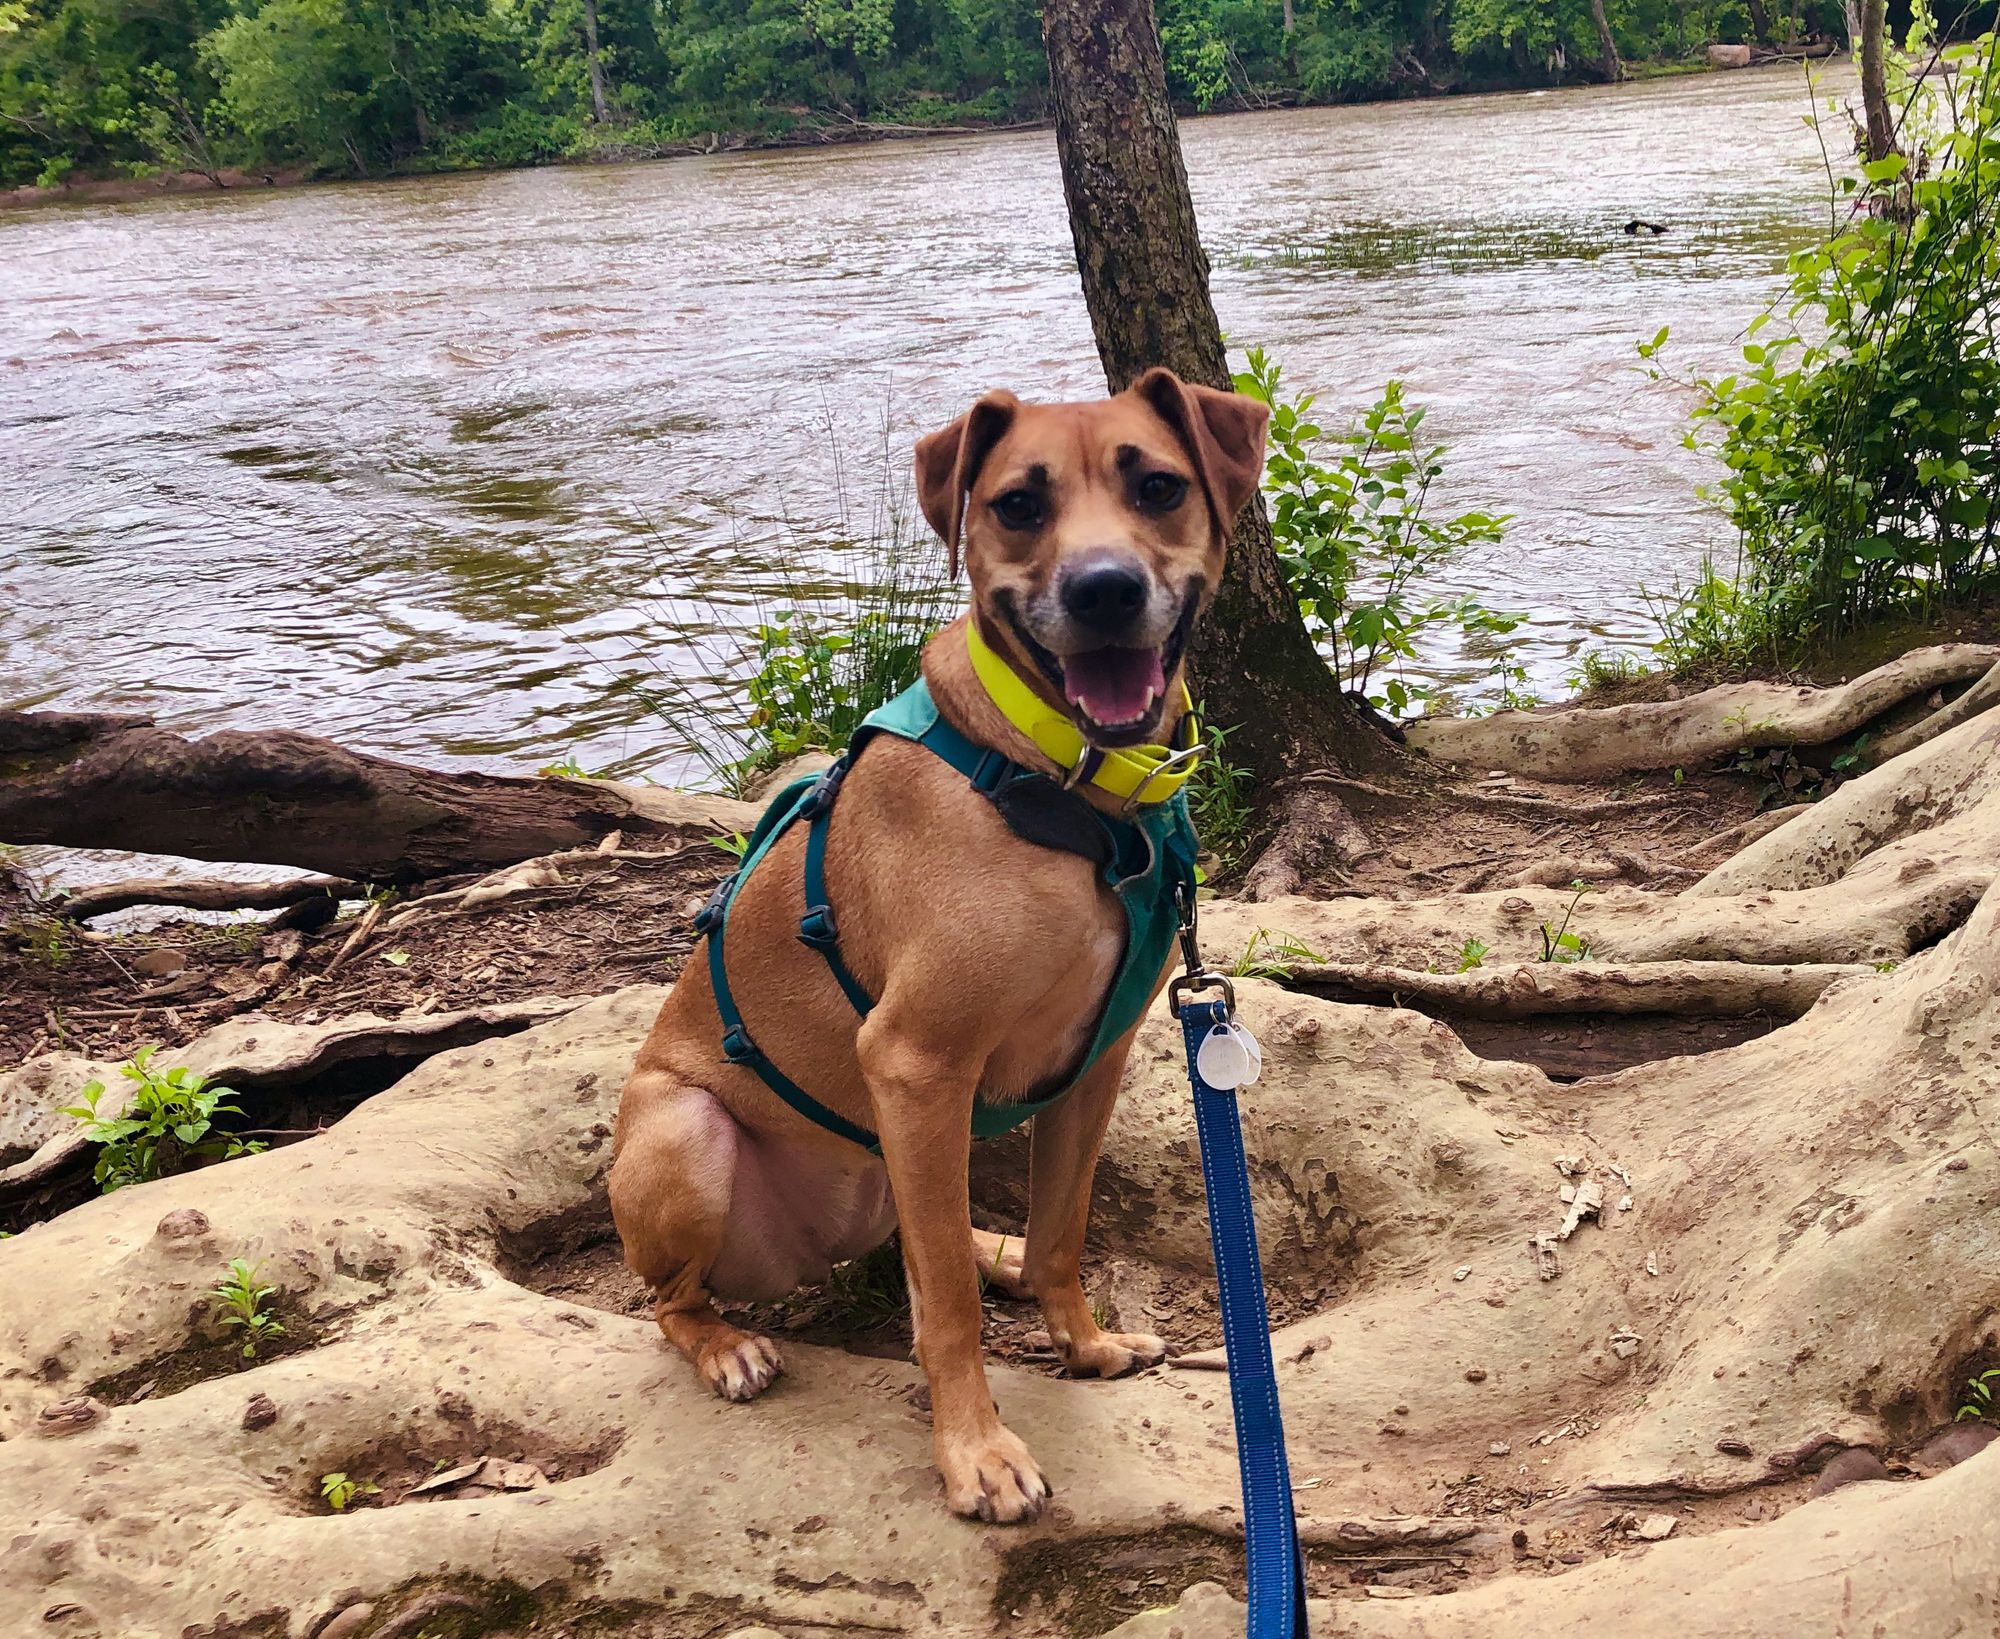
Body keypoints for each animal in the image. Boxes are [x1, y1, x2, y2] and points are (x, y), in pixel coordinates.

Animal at [608, 371, 1264, 1527]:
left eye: (1157, 485)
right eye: (1017, 504)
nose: (1103, 591)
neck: (1067, 790)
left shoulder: (1092, 1063)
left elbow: (1059, 1230)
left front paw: (1084, 1343)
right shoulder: (915, 1062)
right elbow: (946, 1307)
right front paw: (976, 1452)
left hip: (896, 1155)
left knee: (945, 1240)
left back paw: (991, 1249)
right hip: (688, 1131)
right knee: (674, 1298)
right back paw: (727, 1344)